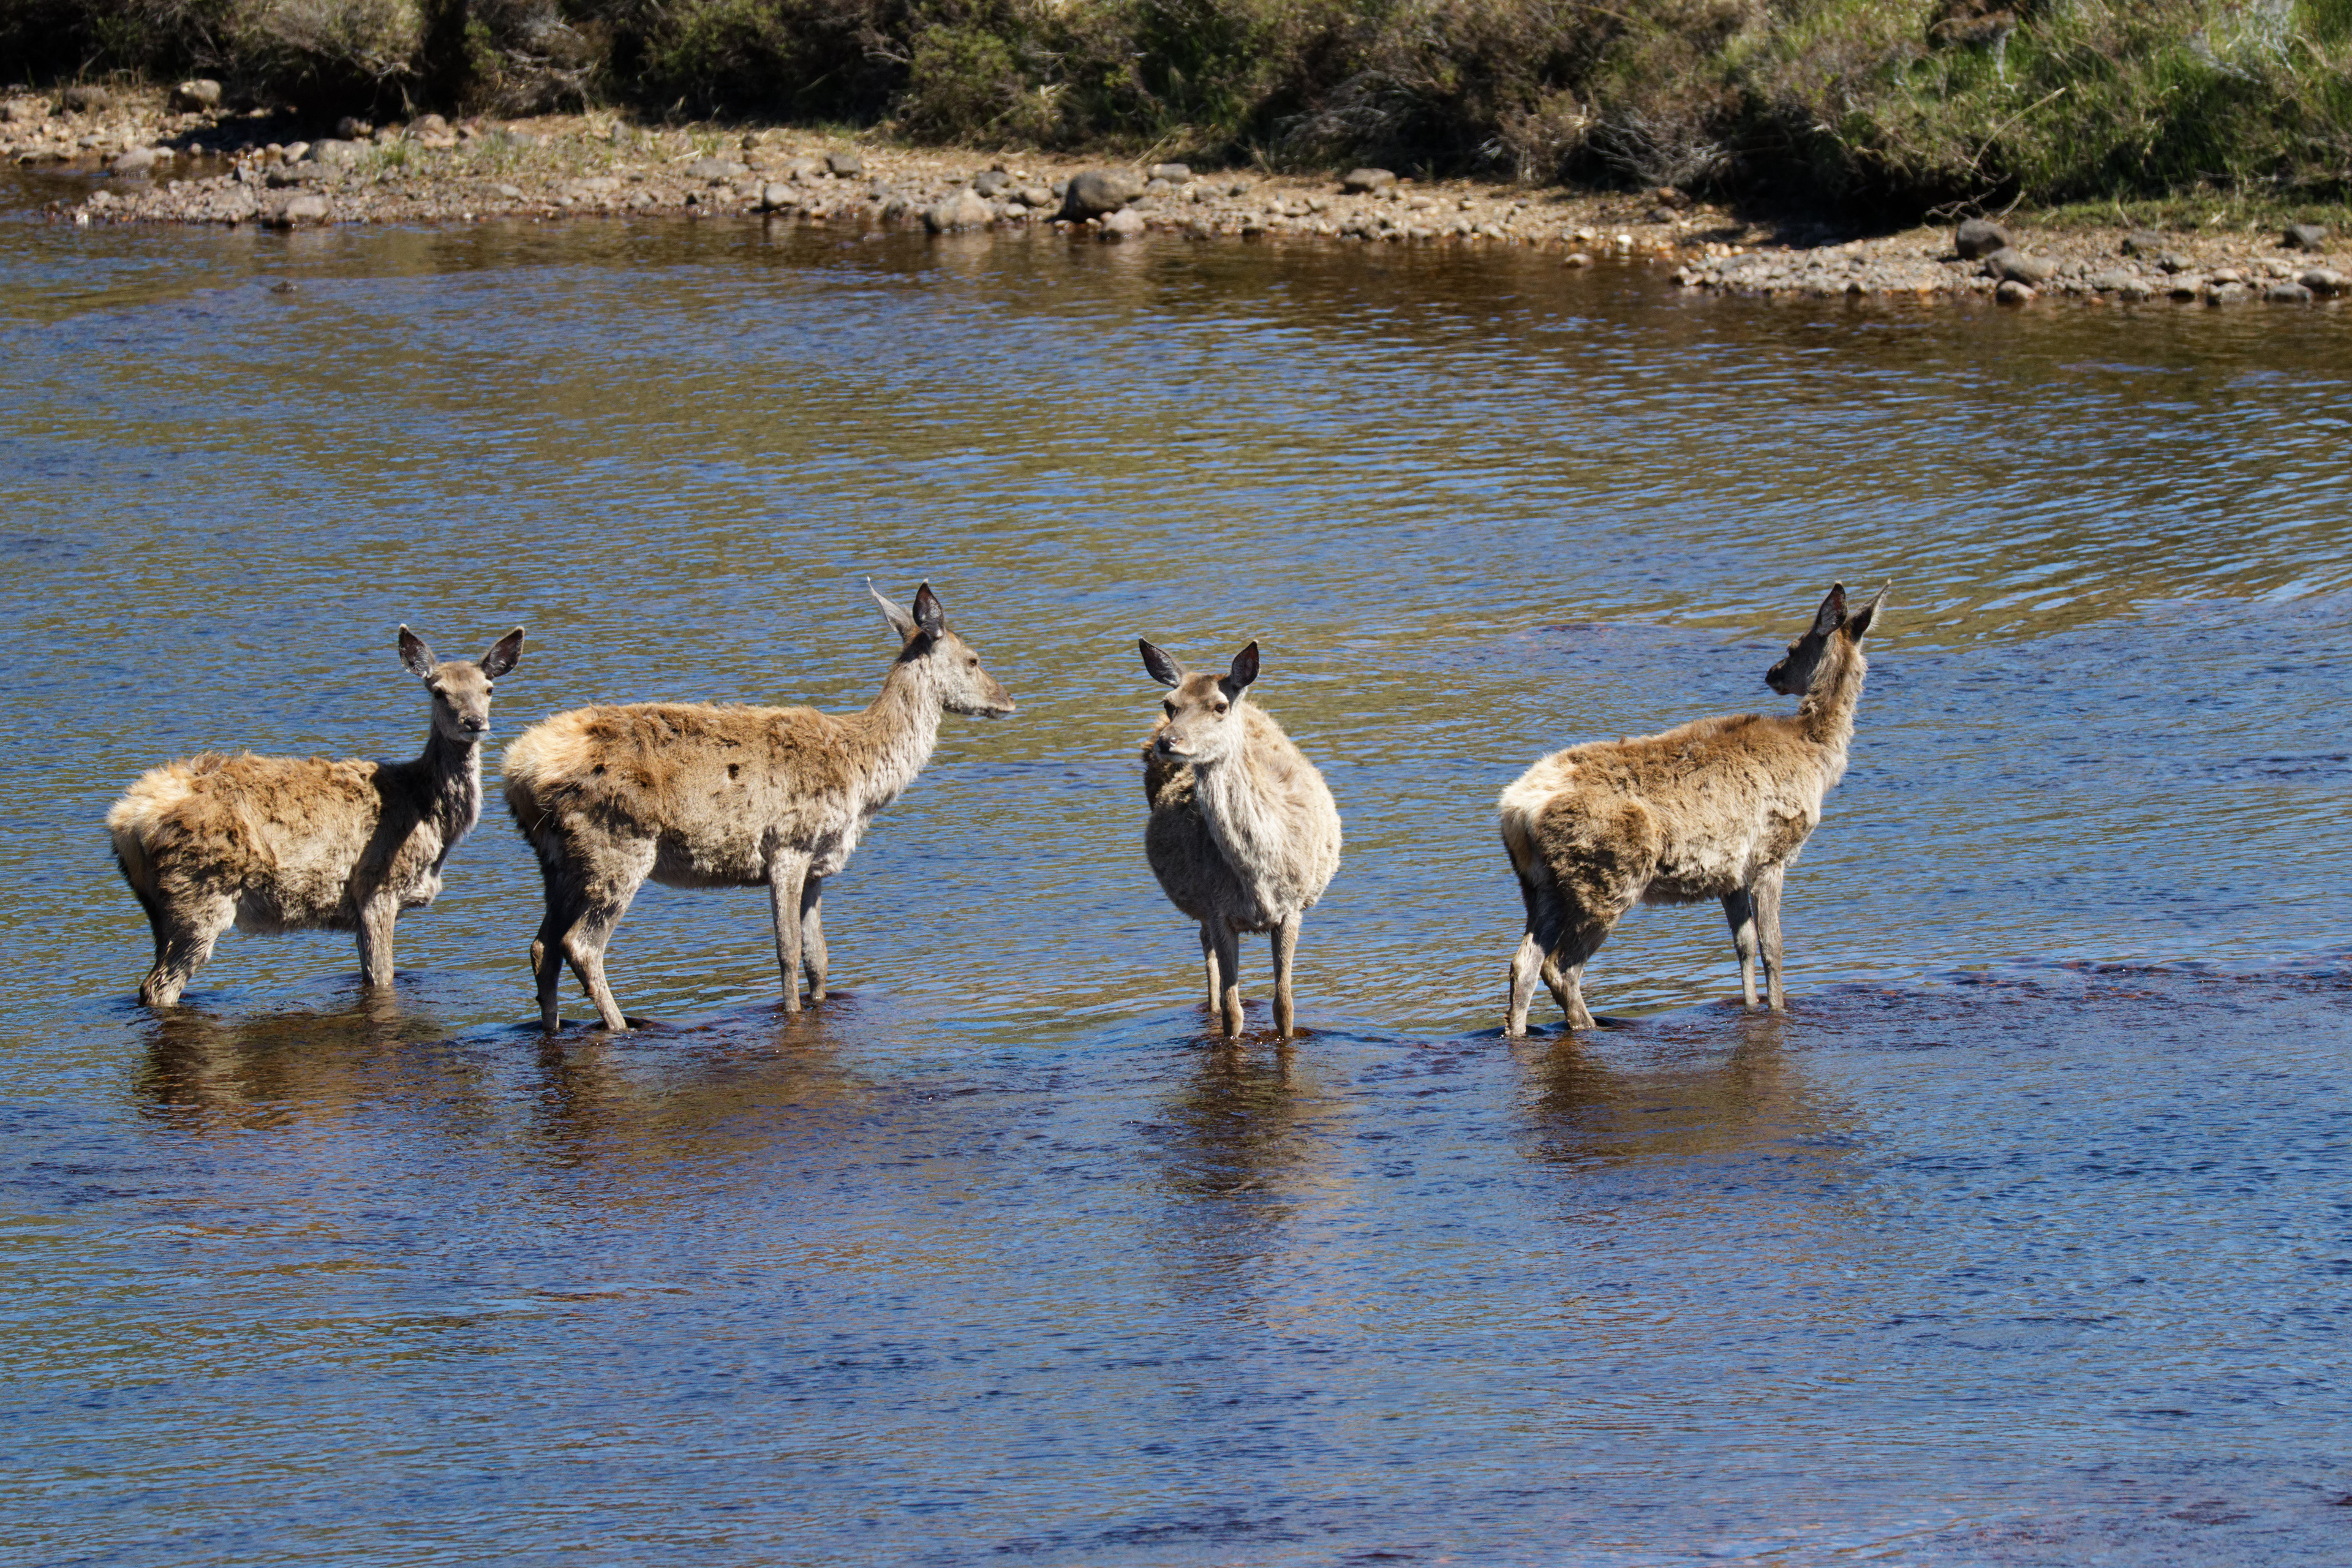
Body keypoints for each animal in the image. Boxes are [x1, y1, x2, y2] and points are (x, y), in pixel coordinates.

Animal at [107, 626, 526, 1008]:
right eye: (438, 691)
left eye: (489, 688)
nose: (474, 722)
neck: (430, 816)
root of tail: (126, 820)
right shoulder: (377, 888)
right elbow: (383, 977)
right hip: (200, 893)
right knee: (159, 987)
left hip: (160, 910)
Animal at [502, 582, 1015, 1032]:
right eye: (974, 659)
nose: (1008, 700)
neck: (865, 781)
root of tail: (517, 773)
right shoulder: (788, 846)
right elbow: (787, 952)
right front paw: (791, 1012)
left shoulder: (819, 863)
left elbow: (818, 958)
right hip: (617, 846)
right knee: (581, 945)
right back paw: (620, 1026)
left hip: (558, 862)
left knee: (542, 947)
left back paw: (553, 1028)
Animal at [1138, 639, 1343, 1038]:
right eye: (1170, 703)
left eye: (1220, 706)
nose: (1168, 742)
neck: (1257, 878)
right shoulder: (1218, 910)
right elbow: (1234, 1013)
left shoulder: (1292, 910)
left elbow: (1284, 1006)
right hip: (1200, 906)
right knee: (1206, 953)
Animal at [1498, 582, 1887, 1036]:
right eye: (1792, 645)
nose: (1772, 672)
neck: (1817, 757)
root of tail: (1515, 812)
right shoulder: (1772, 852)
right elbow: (1773, 947)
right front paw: (1778, 1009)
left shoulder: (1731, 872)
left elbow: (1744, 945)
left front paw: (1751, 1008)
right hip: (1609, 877)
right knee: (1561, 967)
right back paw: (1591, 1025)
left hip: (1541, 887)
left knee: (1524, 964)